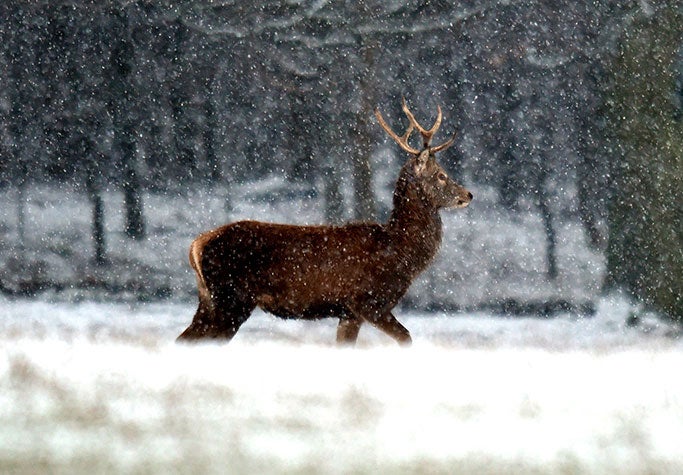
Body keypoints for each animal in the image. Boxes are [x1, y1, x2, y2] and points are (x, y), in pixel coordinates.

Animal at [179, 99, 472, 346]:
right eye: (441, 175)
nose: (468, 194)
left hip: (210, 300)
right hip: (230, 299)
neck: (400, 253)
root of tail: (196, 245)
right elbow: (406, 338)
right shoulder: (369, 302)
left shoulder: (348, 312)